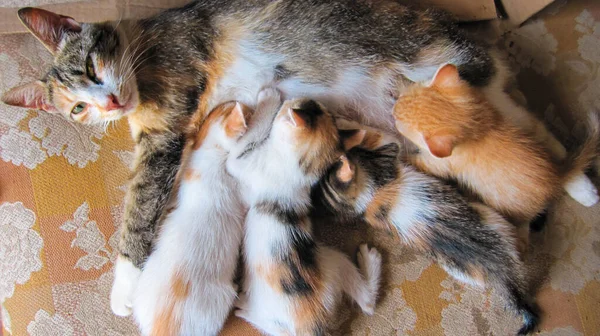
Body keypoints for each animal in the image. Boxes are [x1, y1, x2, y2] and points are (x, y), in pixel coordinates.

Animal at [225, 89, 380, 336]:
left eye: (286, 106)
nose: (288, 98)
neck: (299, 172)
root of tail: (314, 323)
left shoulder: (241, 160)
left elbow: (251, 136)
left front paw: (269, 98)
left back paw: (244, 308)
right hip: (336, 262)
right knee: (366, 303)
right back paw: (370, 259)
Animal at [394, 63, 600, 226]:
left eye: (398, 121)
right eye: (399, 99)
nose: (393, 109)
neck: (479, 127)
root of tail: (556, 176)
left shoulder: (443, 163)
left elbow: (422, 163)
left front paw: (400, 154)